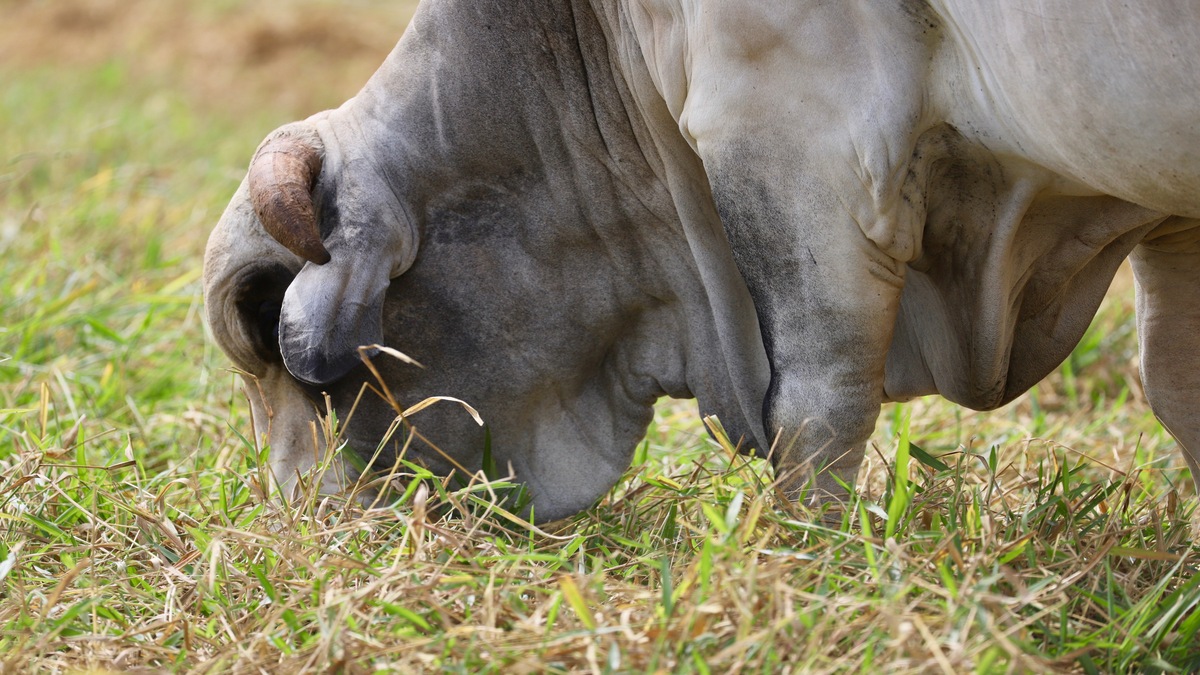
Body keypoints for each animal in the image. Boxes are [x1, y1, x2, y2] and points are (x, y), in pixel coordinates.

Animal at [204, 0, 1200, 521]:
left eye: (258, 311)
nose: (300, 529)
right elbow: (1175, 380)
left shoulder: (793, 125)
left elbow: (818, 405)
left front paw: (813, 562)